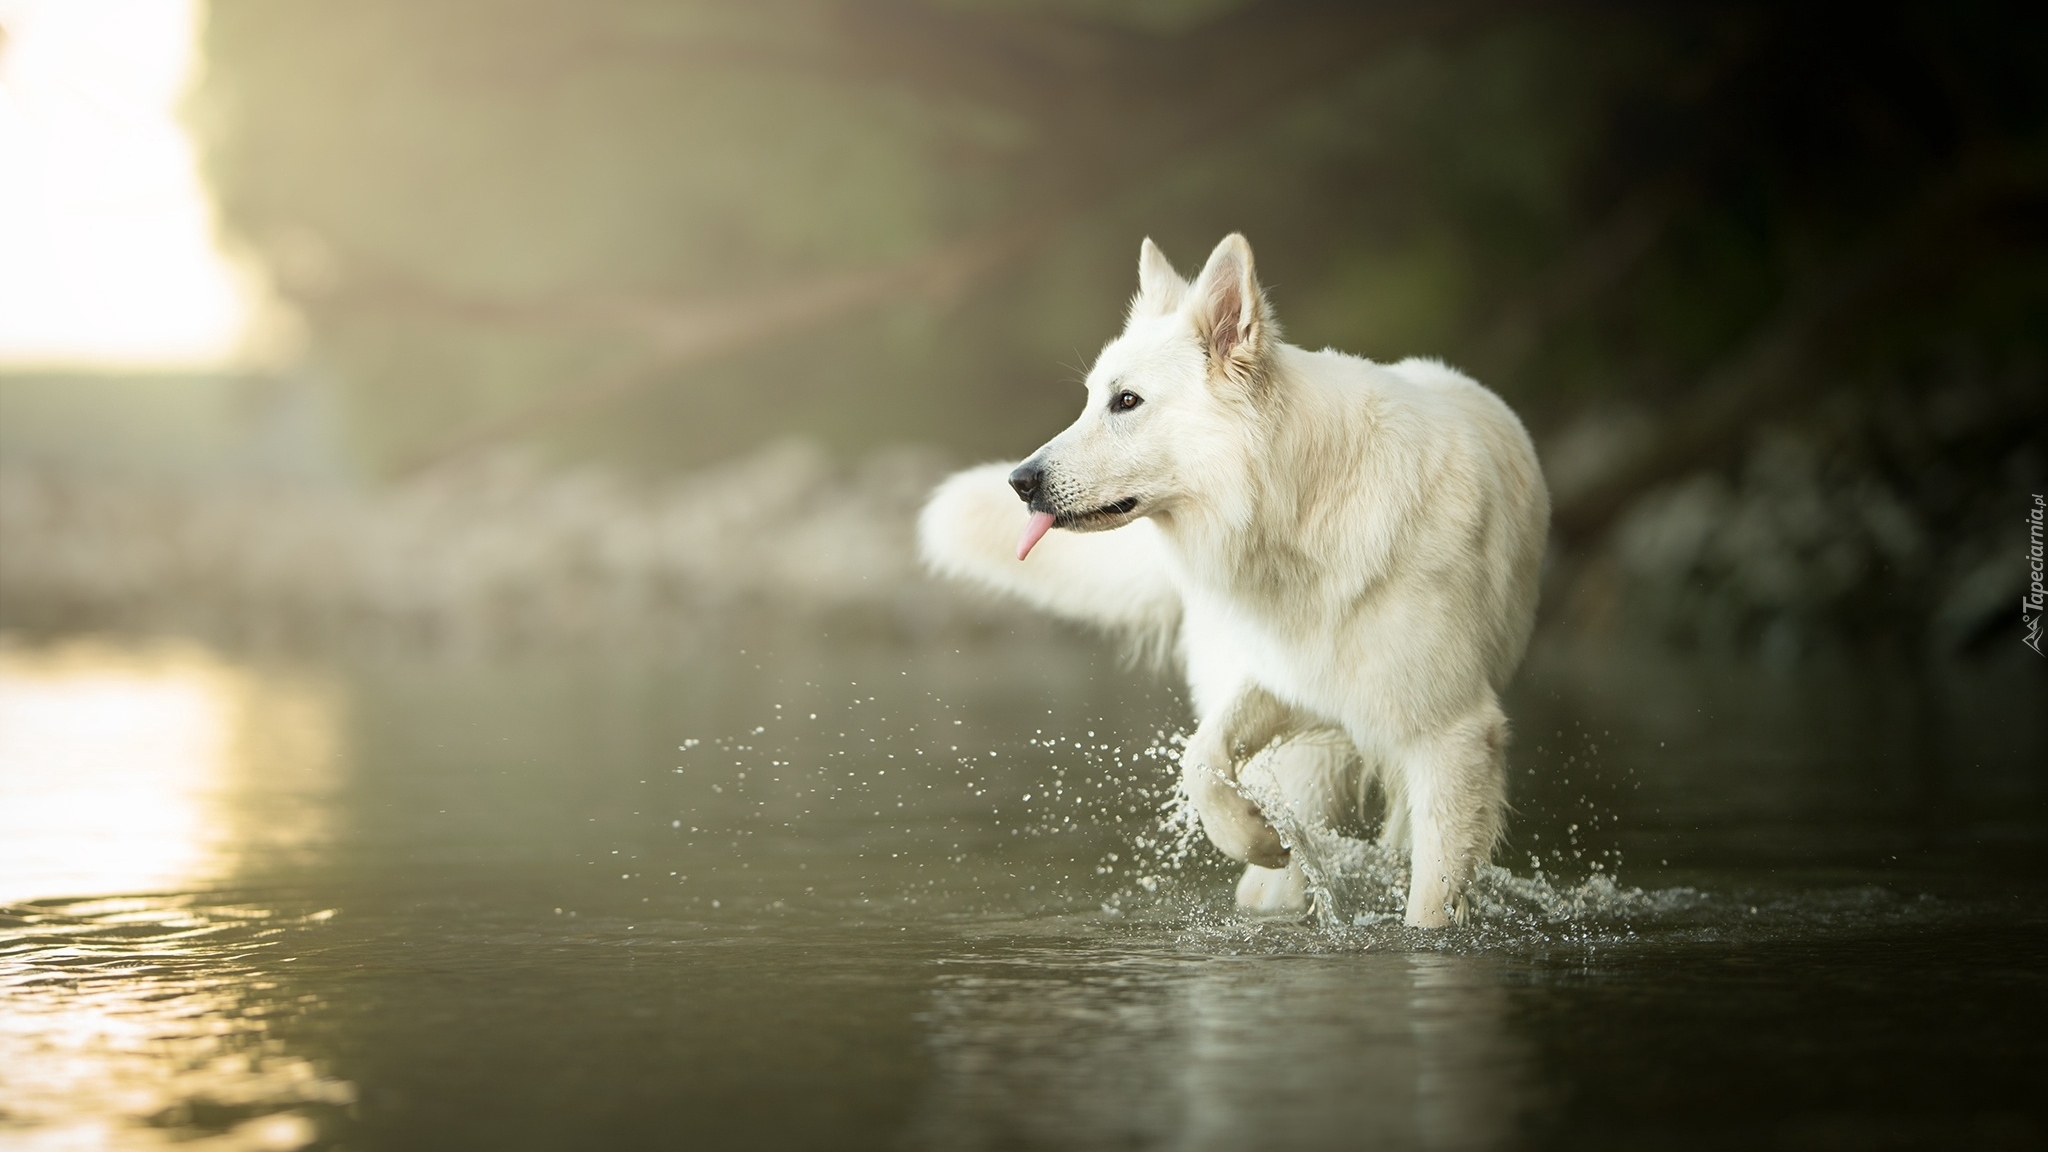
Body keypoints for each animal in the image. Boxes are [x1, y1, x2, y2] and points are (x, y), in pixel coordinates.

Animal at [921, 233, 1540, 922]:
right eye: (1090, 399)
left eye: (1126, 401)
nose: (1019, 483)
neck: (1303, 513)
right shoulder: (1288, 677)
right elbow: (1200, 756)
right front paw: (1255, 835)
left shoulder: (1452, 740)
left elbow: (1430, 905)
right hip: (1306, 755)